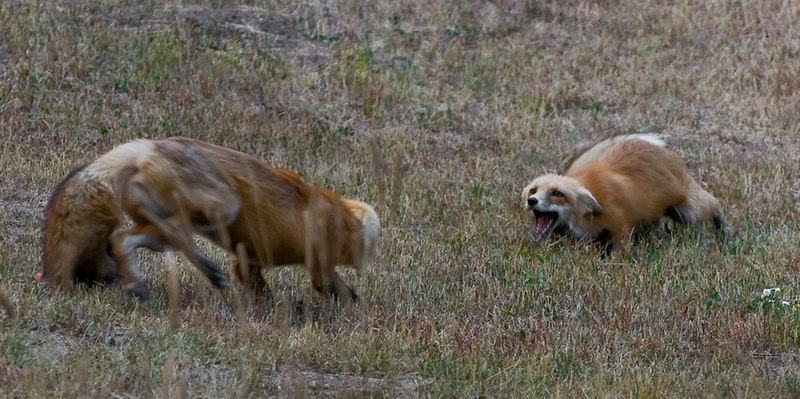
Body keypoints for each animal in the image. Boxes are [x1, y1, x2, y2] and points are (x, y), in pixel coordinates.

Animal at [40, 136, 382, 302]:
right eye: (372, 246)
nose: (367, 262)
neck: (341, 218)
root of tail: (147, 146)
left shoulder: (248, 263)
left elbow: (259, 289)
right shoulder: (319, 261)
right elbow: (333, 287)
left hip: (158, 221)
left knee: (121, 238)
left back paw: (141, 279)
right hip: (222, 204)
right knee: (174, 232)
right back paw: (207, 269)